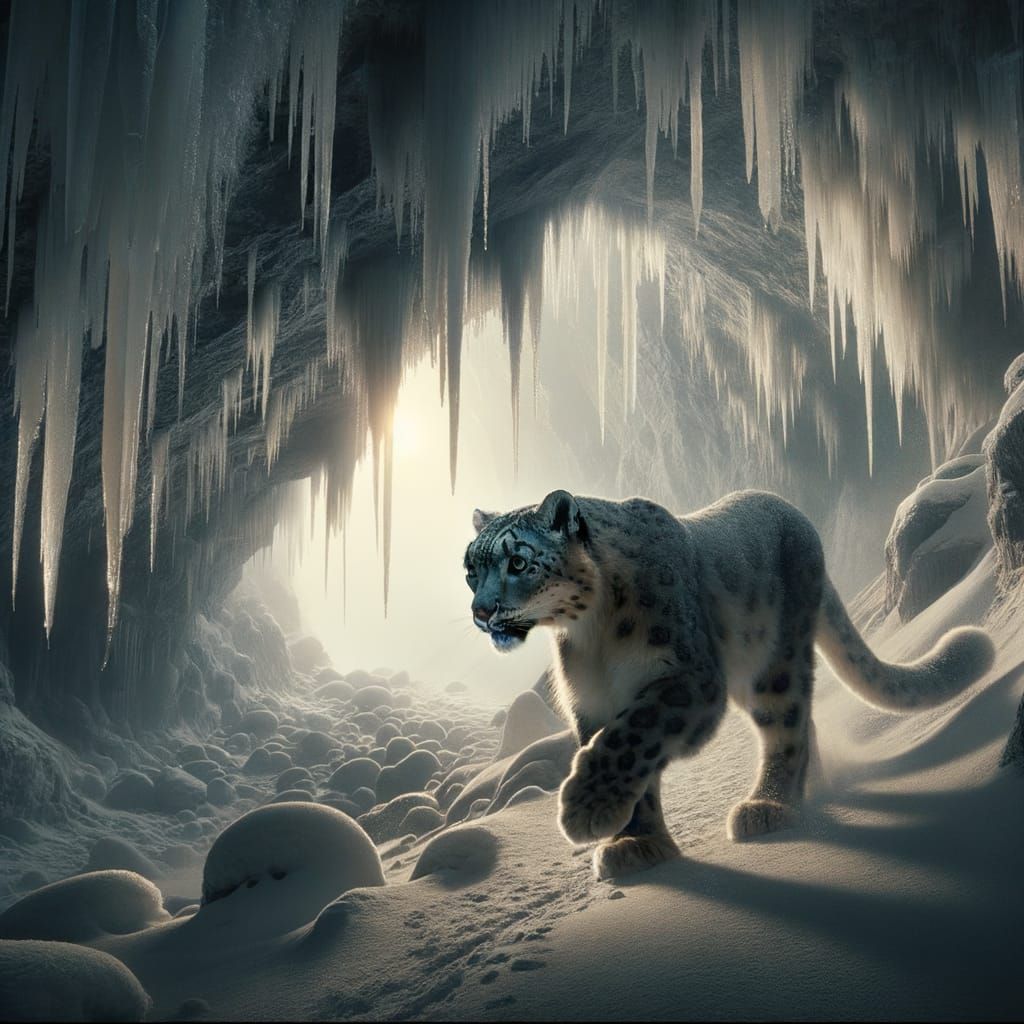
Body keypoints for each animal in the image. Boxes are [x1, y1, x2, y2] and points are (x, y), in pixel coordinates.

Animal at [464, 489, 995, 880]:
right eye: (472, 569)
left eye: (518, 562)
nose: (481, 612)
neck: (590, 631)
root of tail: (798, 517)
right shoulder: (594, 701)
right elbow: (632, 765)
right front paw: (638, 842)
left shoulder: (689, 680)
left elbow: (630, 739)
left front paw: (586, 808)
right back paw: (810, 790)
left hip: (773, 663)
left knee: (788, 726)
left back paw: (772, 806)